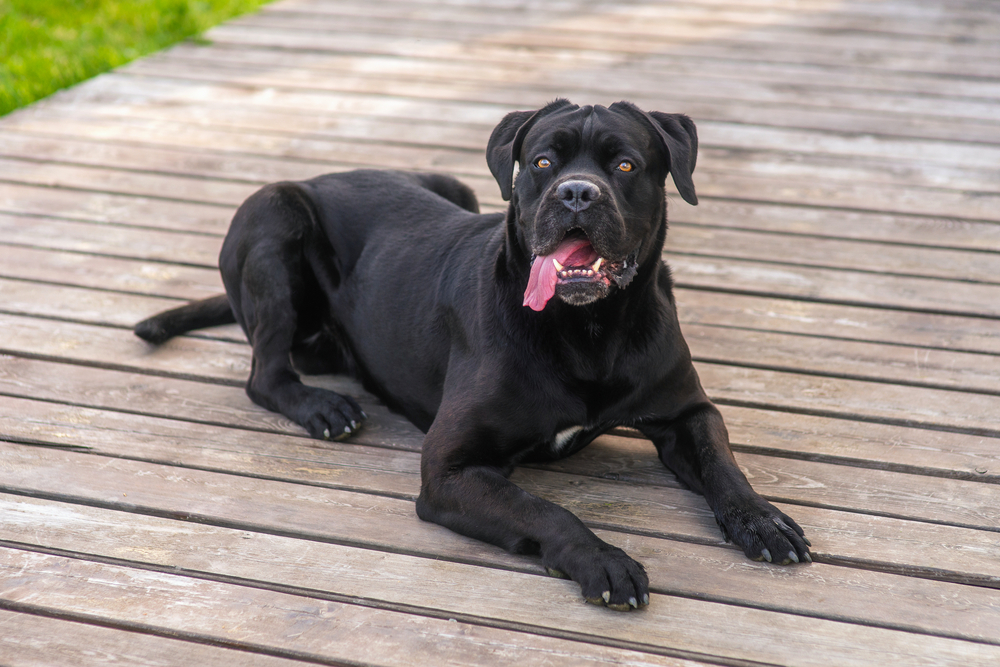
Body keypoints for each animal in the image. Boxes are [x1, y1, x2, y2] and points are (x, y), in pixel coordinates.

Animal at [139, 99, 812, 612]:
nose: (576, 193)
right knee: (265, 373)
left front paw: (763, 520)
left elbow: (724, 465)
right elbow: (543, 509)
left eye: (625, 163)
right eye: (542, 162)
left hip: (449, 184)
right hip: (274, 218)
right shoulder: (450, 467)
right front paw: (603, 560)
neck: (589, 330)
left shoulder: (686, 411)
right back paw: (323, 408)